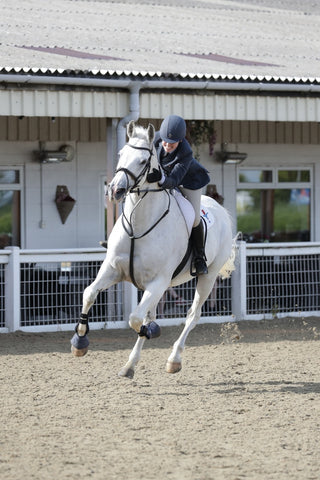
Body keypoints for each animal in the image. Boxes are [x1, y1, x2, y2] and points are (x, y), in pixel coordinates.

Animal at [72, 121, 238, 378]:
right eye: (120, 154)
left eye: (143, 161)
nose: (115, 190)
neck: (139, 223)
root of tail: (220, 210)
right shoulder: (112, 270)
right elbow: (89, 293)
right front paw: (80, 343)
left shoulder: (158, 281)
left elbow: (135, 319)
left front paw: (151, 332)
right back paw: (130, 364)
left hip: (207, 277)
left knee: (193, 315)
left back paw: (173, 359)